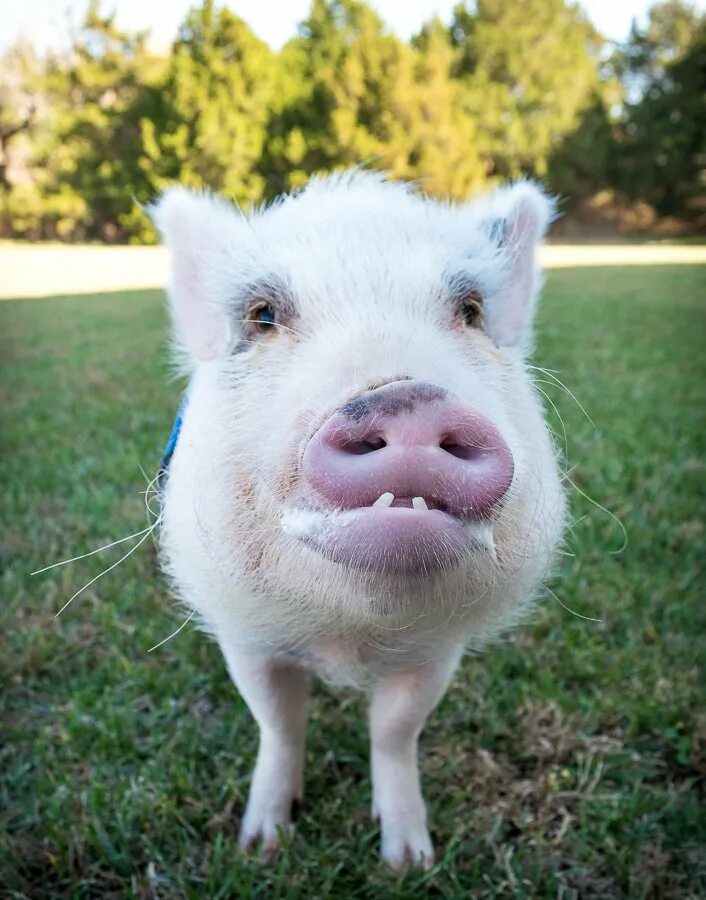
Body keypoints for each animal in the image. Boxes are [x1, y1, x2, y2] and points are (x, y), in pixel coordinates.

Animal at [150, 171, 568, 872]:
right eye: (262, 315)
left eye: (470, 311)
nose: (408, 400)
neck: (348, 639)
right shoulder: (246, 638)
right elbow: (279, 722)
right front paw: (262, 845)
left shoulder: (435, 652)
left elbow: (394, 731)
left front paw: (410, 862)